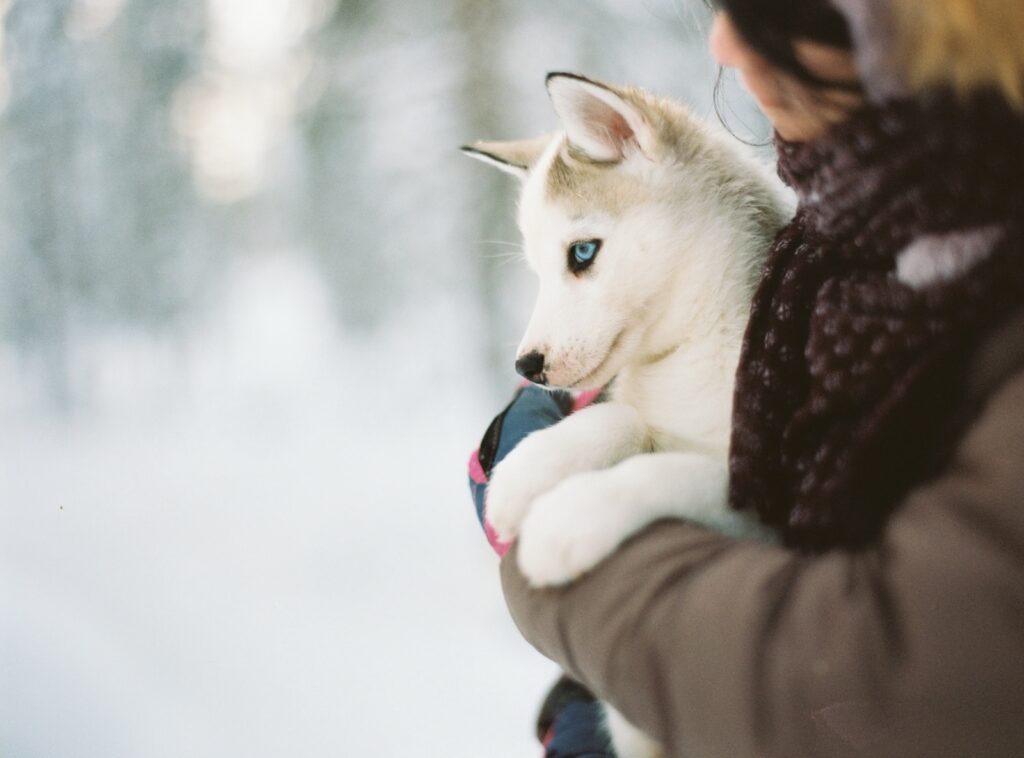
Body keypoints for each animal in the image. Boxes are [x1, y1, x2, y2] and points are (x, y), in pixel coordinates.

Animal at [464, 72, 790, 758]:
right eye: (537, 269)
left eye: (582, 252)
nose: (526, 364)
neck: (687, 356)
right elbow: (621, 420)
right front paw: (531, 470)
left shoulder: (778, 501)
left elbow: (675, 471)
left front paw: (570, 518)